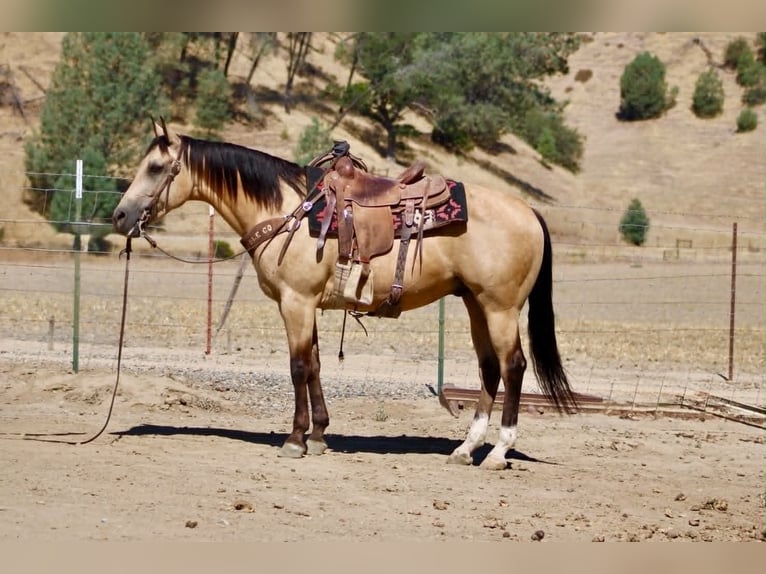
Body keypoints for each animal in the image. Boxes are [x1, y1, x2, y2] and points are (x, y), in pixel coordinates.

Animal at [112, 120, 578, 470]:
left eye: (156, 167)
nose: (120, 215)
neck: (288, 210)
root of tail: (528, 211)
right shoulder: (307, 305)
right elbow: (316, 365)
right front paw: (319, 434)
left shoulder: (295, 302)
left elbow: (298, 367)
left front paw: (295, 439)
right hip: (475, 304)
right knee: (489, 368)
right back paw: (465, 449)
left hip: (501, 307)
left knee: (513, 366)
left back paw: (498, 452)